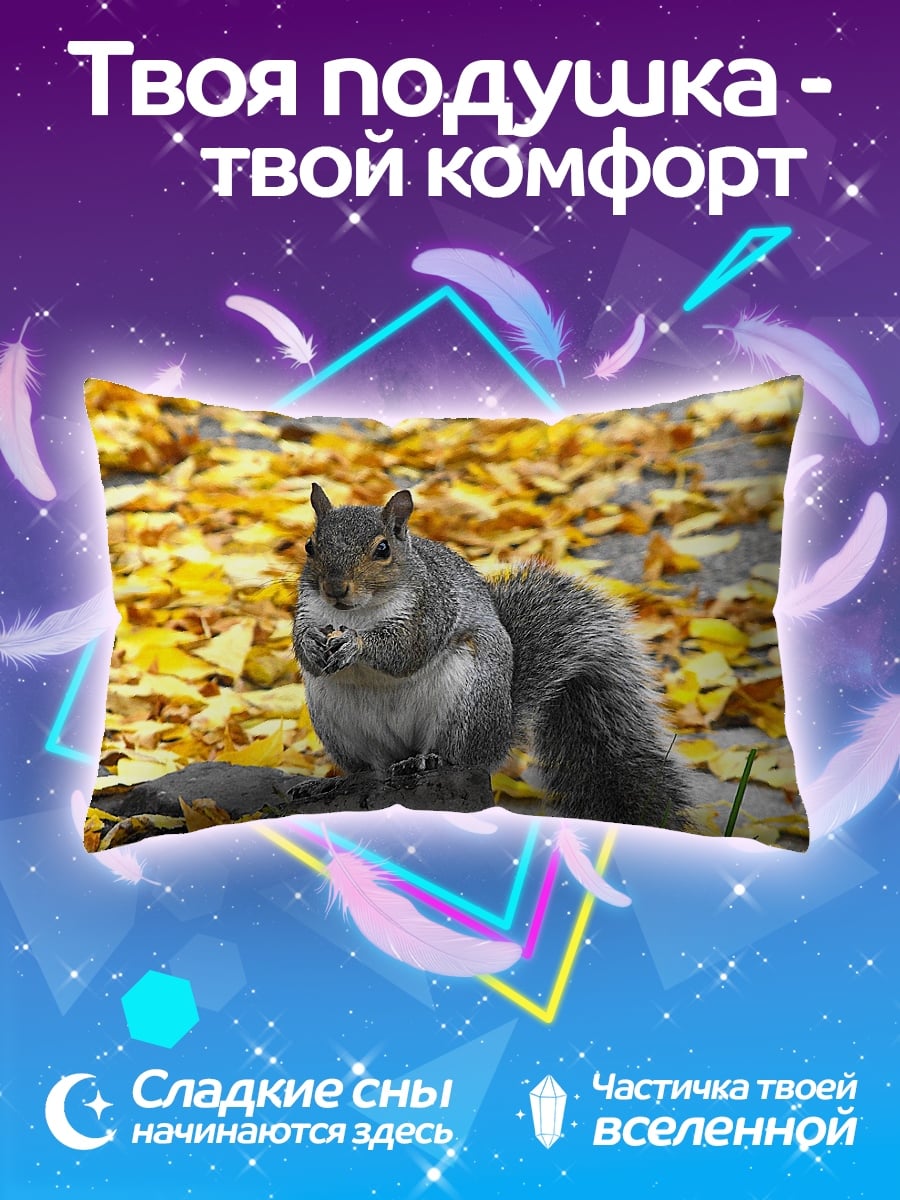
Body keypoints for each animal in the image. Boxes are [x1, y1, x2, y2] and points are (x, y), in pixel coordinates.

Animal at [292, 483, 692, 829]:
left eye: (382, 549)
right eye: (310, 546)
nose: (335, 589)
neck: (356, 613)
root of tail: (500, 735)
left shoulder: (430, 610)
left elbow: (405, 650)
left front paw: (356, 644)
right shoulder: (307, 610)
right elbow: (302, 646)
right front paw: (311, 642)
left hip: (467, 704)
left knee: (459, 758)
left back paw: (425, 760)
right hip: (336, 720)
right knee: (370, 771)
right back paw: (336, 782)